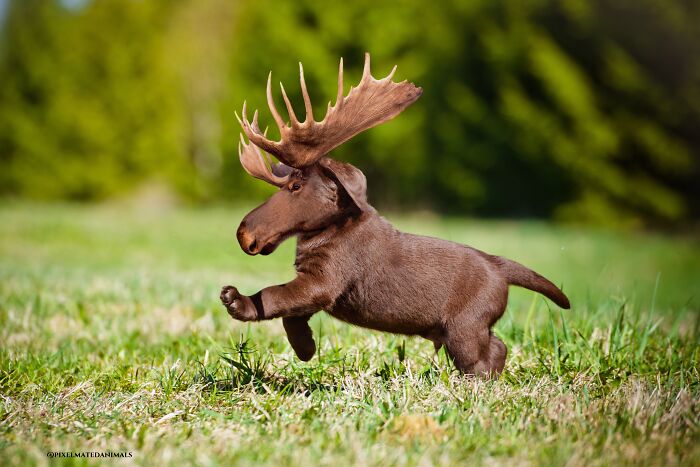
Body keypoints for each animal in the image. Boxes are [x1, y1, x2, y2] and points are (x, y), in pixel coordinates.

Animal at [220, 53, 570, 377]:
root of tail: (499, 266)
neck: (335, 227)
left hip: (464, 329)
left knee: (480, 363)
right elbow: (292, 314)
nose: (244, 233)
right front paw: (306, 349)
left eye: (295, 186)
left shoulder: (324, 282)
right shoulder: (313, 288)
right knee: (498, 348)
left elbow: (275, 296)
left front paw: (237, 301)